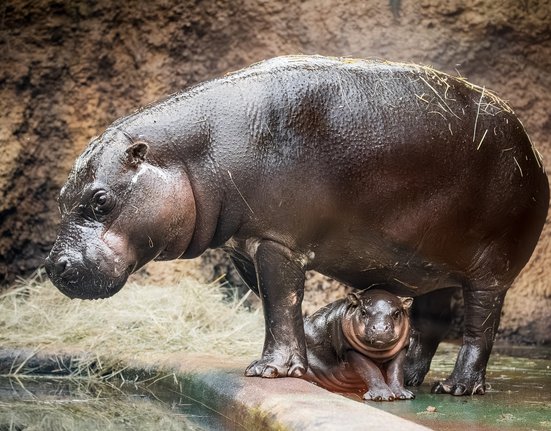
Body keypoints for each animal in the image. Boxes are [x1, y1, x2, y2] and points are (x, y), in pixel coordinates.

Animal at [45, 55, 548, 396]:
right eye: (61, 198)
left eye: (100, 200)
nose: (54, 266)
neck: (191, 154)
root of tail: (532, 150)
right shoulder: (245, 245)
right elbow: (279, 307)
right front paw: (303, 365)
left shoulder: (276, 241)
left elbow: (281, 303)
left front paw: (270, 371)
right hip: (426, 266)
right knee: (429, 321)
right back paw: (411, 379)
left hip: (491, 268)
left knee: (480, 327)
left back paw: (458, 387)